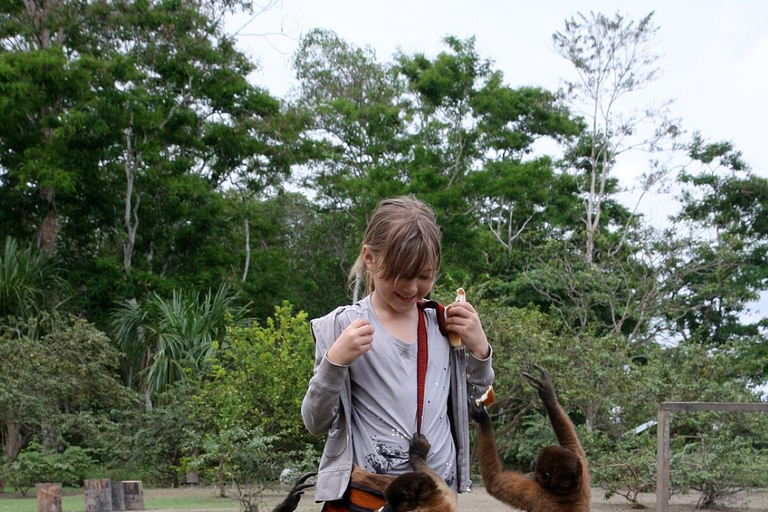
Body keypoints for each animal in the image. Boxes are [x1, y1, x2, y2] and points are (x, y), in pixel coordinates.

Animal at [468, 364, 588, 512]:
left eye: (536, 463)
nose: (532, 462)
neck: (566, 493)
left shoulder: (536, 495)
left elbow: (494, 480)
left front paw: (483, 418)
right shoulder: (583, 477)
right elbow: (572, 442)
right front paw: (548, 393)